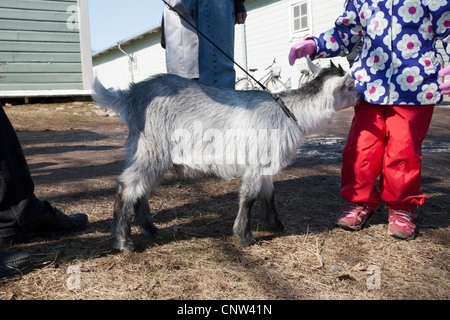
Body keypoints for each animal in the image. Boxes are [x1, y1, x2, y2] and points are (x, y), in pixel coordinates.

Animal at [93, 58, 360, 251]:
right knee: (127, 186)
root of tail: (129, 95)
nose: (362, 96)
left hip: (147, 152)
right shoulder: (255, 163)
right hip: (152, 148)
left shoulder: (265, 164)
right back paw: (124, 242)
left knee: (141, 189)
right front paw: (245, 236)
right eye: (351, 86)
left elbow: (269, 194)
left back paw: (149, 228)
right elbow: (249, 197)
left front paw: (275, 225)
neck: (290, 112)